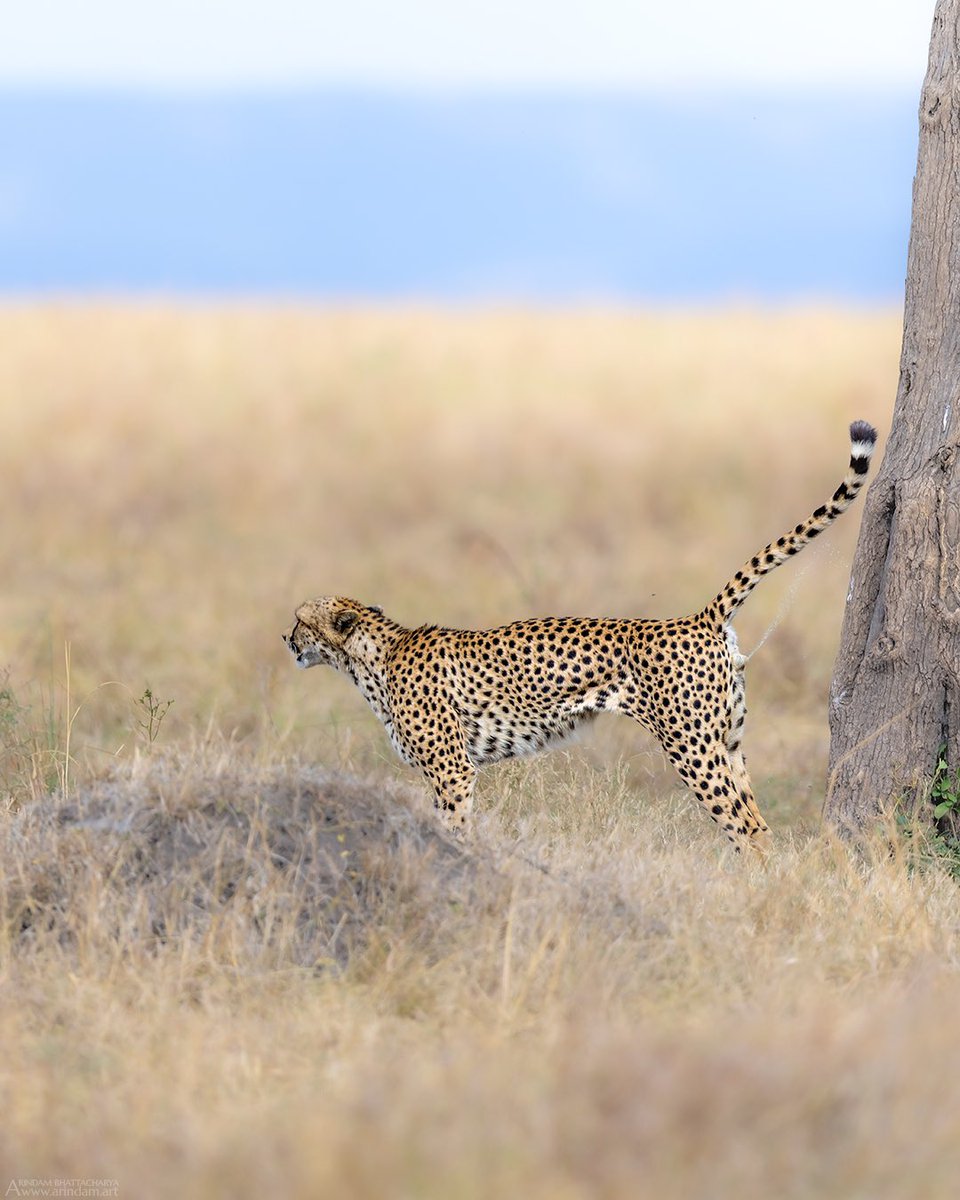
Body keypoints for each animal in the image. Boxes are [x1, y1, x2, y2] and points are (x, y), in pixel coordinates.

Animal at [283, 420, 877, 851]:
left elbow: (452, 824)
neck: (375, 654)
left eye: (299, 620)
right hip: (728, 739)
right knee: (758, 822)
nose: (286, 641)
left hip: (692, 745)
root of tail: (699, 617)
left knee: (746, 827)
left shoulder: (452, 770)